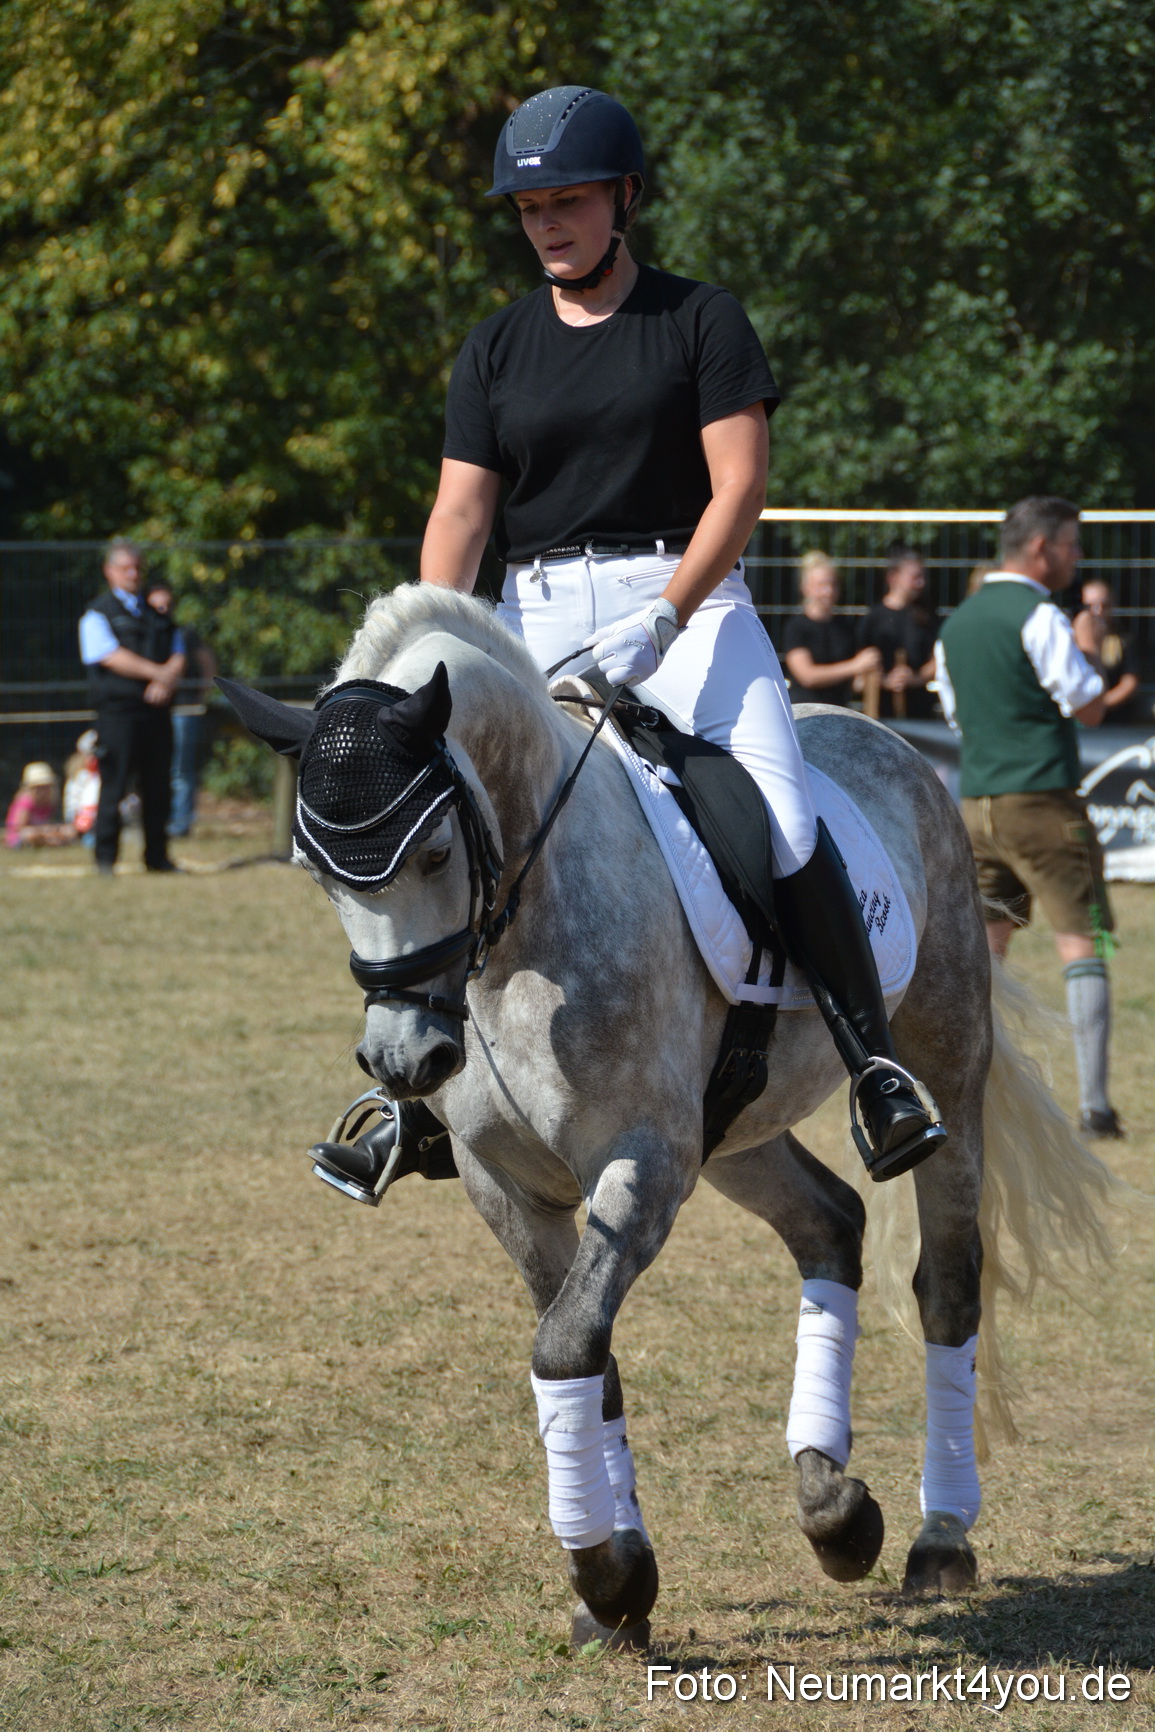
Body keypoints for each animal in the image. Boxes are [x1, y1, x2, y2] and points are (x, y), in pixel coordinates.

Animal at [226, 581, 1114, 1649]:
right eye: (316, 874)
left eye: (435, 851)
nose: (405, 1060)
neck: (523, 930)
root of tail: (894, 743)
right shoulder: (506, 1184)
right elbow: (582, 1353)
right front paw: (613, 1585)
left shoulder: (644, 1161)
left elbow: (565, 1342)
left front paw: (608, 1577)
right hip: (734, 1133)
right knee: (829, 1224)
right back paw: (832, 1509)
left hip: (942, 1055)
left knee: (945, 1283)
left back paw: (938, 1538)